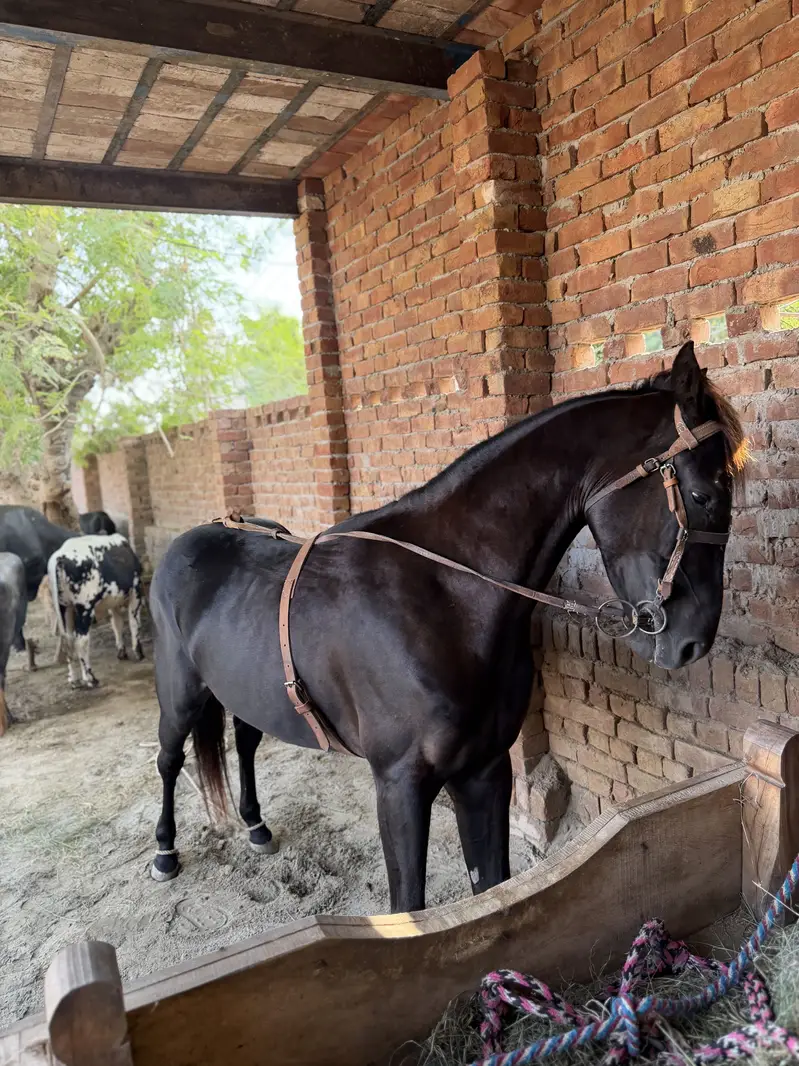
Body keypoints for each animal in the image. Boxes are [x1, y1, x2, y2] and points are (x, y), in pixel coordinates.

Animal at [148, 343, 745, 910]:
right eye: (702, 494)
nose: (691, 642)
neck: (446, 597)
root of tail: (190, 539)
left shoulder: (484, 771)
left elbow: (494, 890)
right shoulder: (400, 786)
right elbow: (409, 904)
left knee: (246, 741)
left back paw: (255, 824)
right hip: (179, 695)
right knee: (169, 759)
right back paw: (164, 852)